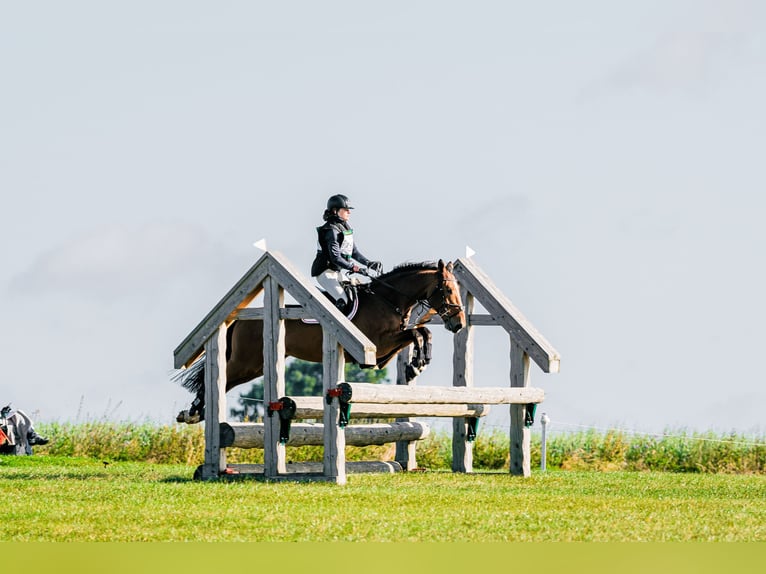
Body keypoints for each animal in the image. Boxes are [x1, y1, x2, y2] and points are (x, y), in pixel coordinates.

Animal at [176, 260, 466, 423]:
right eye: (447, 289)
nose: (459, 323)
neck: (388, 299)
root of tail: (244, 317)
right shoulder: (379, 344)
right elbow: (416, 333)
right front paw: (417, 364)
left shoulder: (384, 354)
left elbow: (421, 332)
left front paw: (417, 363)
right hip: (247, 362)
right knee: (216, 379)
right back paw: (193, 413)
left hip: (253, 366)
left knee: (221, 381)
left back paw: (196, 413)